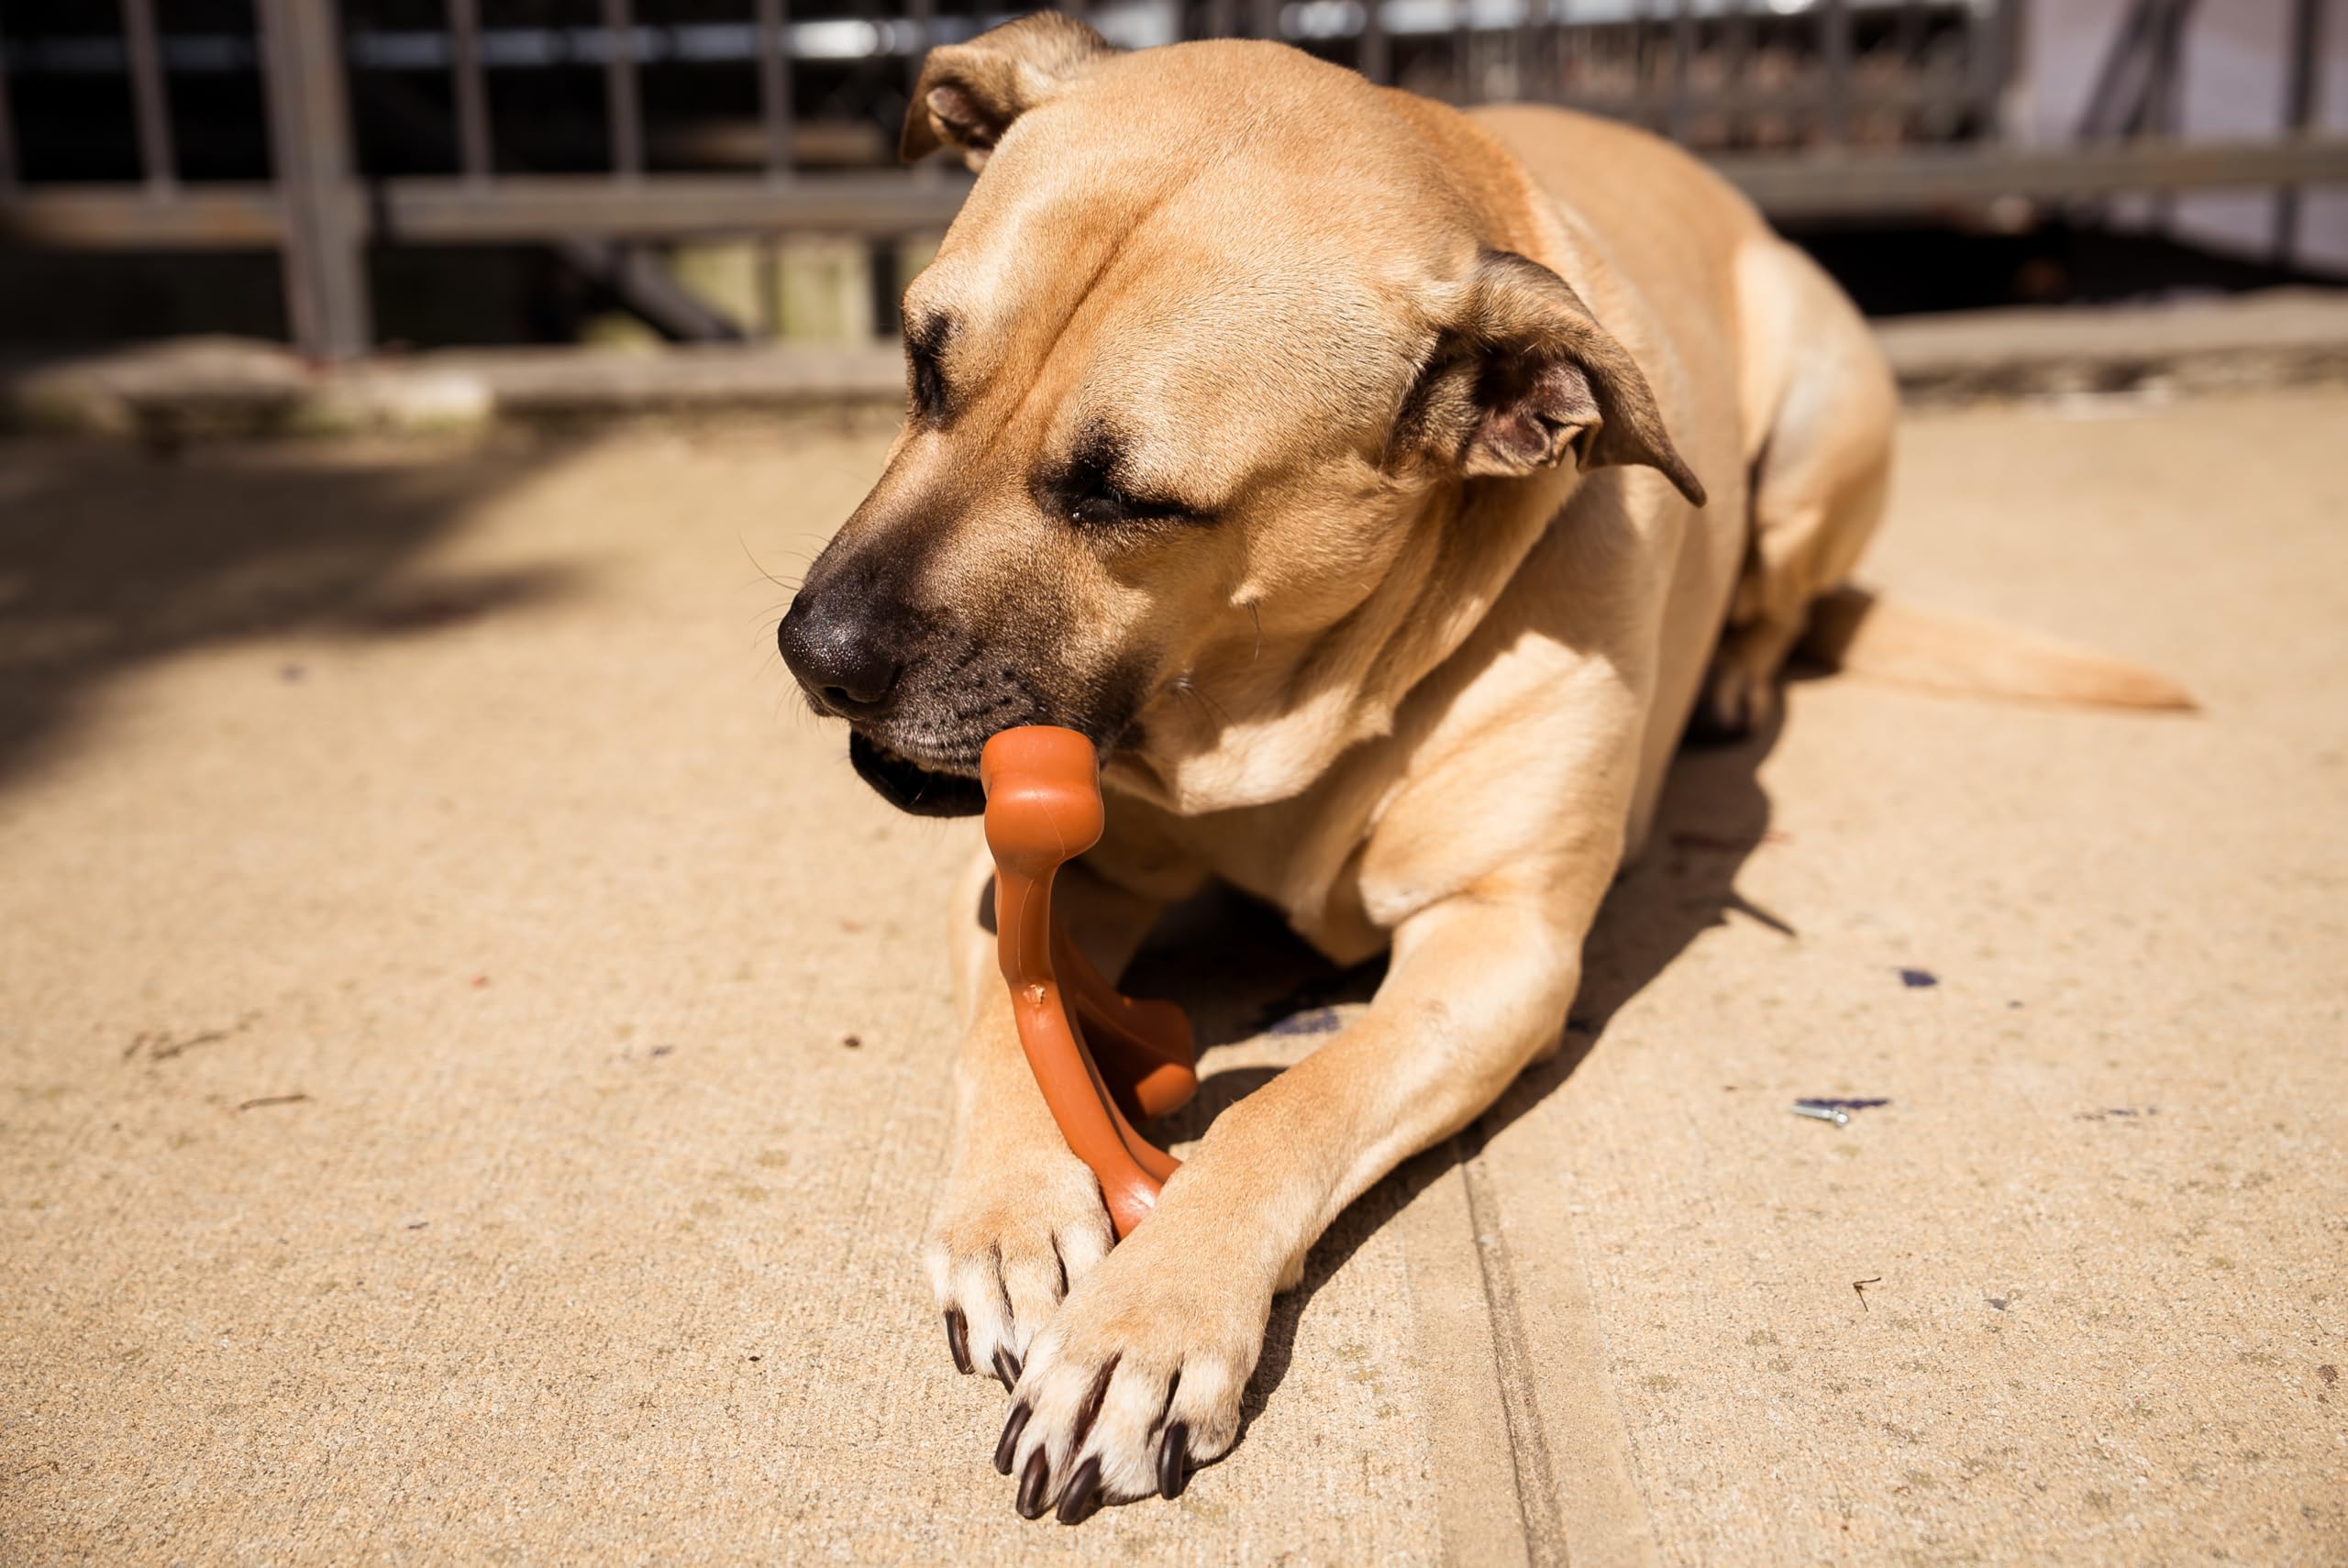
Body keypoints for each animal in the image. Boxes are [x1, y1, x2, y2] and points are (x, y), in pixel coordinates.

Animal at [779, 8, 2187, 1520]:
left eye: (1128, 498)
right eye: (923, 363)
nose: (814, 650)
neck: (1276, 702)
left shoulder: (1500, 948)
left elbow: (1292, 1103)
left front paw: (1149, 1316)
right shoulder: (1034, 870)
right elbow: (1008, 1008)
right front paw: (1013, 1215)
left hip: (1826, 412)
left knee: (1782, 592)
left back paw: (1737, 675)